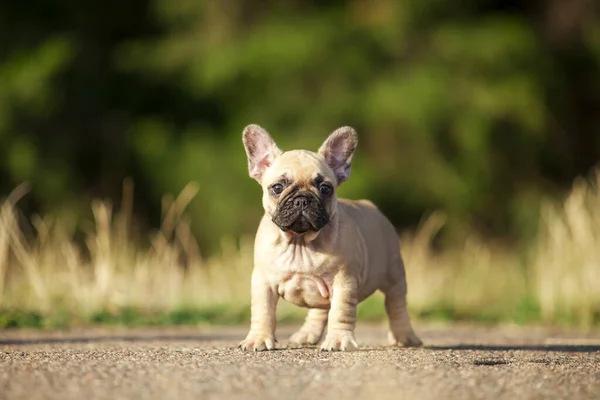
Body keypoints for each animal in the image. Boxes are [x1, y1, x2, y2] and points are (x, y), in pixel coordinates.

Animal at [237, 124, 420, 350]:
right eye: (277, 187)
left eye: (325, 189)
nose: (302, 200)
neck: (300, 243)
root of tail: (371, 205)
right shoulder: (263, 283)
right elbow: (263, 312)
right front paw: (259, 338)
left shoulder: (344, 283)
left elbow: (341, 312)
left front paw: (339, 339)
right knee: (320, 310)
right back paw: (307, 335)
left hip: (394, 275)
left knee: (396, 305)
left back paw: (405, 336)